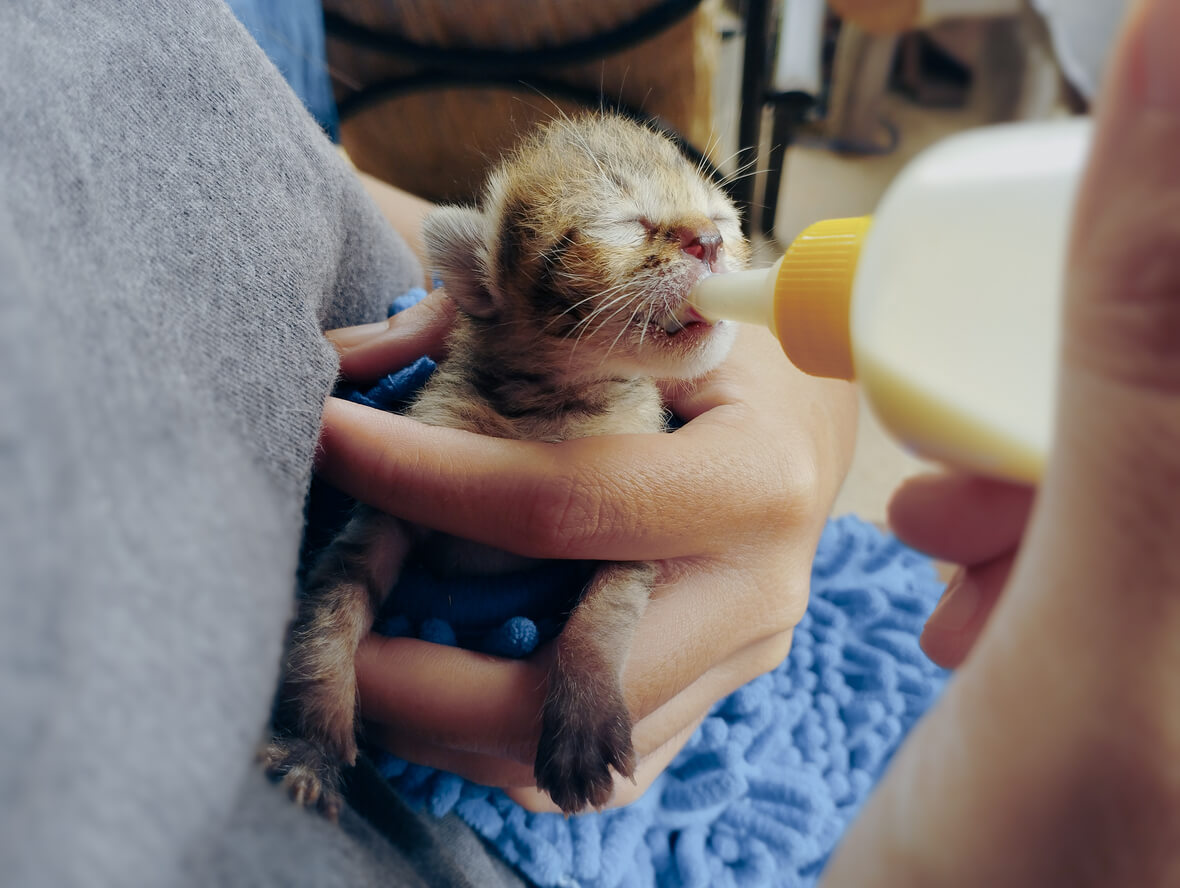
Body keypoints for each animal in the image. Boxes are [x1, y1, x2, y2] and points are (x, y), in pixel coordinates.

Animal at [265, 112, 745, 816]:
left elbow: (602, 612)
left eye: (723, 218)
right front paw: (313, 745)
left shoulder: (636, 522)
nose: (709, 241)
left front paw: (581, 719)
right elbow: (332, 610)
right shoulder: (391, 504)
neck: (556, 404)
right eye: (624, 220)